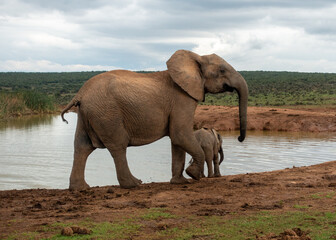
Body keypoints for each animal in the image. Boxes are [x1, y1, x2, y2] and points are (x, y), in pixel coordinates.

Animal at [61, 49, 248, 190]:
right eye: (222, 70)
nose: (239, 138)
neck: (196, 58)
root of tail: (80, 94)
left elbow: (177, 140)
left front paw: (180, 182)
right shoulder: (182, 98)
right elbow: (180, 134)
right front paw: (193, 175)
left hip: (88, 114)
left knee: (82, 146)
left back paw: (80, 188)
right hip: (107, 113)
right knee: (118, 145)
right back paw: (134, 184)